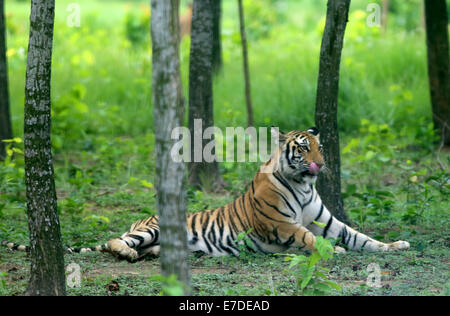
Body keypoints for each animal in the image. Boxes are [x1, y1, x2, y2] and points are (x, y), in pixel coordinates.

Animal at [3, 127, 410, 260]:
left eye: (320, 148)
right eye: (303, 148)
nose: (321, 165)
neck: (302, 184)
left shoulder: (327, 220)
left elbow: (360, 237)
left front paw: (396, 246)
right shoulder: (281, 224)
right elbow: (310, 237)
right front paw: (333, 251)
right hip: (149, 228)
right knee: (112, 241)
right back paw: (128, 253)